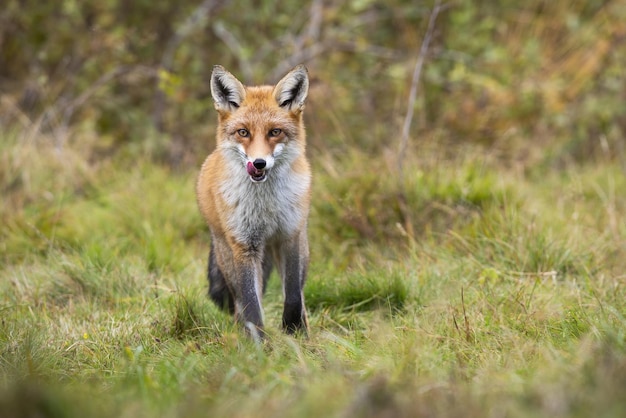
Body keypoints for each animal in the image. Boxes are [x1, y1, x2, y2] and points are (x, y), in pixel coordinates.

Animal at [196, 65, 310, 338]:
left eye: (275, 132)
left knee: (300, 293)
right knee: (239, 303)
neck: (265, 207)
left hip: (300, 248)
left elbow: (293, 295)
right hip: (228, 256)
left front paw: (292, 327)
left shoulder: (290, 236)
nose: (259, 163)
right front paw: (260, 344)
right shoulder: (244, 245)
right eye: (243, 132)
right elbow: (251, 305)